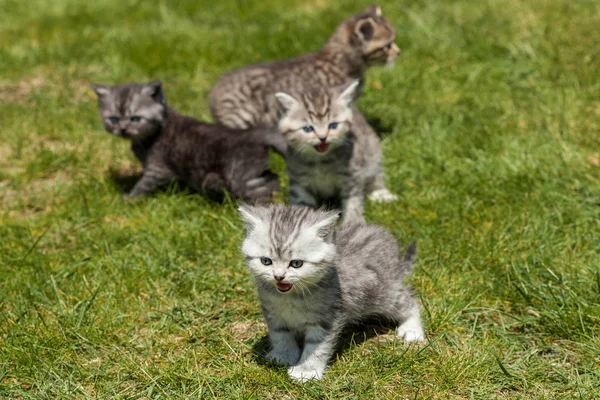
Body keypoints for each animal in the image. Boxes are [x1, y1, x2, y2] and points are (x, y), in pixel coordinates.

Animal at [91, 80, 286, 200]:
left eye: (135, 119)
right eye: (114, 119)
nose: (123, 129)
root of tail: (254, 133)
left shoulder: (158, 169)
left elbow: (143, 184)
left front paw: (130, 198)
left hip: (239, 179)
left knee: (263, 188)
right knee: (273, 179)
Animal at [239, 205, 426, 382]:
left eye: (296, 263)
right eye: (266, 261)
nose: (279, 276)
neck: (290, 297)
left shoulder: (326, 319)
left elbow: (315, 347)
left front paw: (306, 371)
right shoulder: (274, 314)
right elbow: (280, 336)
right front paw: (283, 356)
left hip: (383, 293)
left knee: (409, 302)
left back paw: (412, 329)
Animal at [274, 81, 396, 222]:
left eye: (333, 125)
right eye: (308, 128)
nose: (322, 138)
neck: (321, 161)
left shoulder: (352, 175)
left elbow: (352, 201)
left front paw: (352, 222)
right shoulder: (298, 180)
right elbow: (303, 205)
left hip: (372, 151)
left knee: (376, 175)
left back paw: (381, 194)